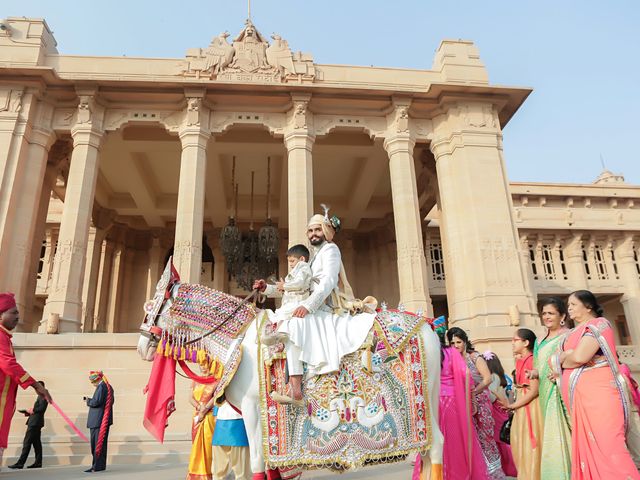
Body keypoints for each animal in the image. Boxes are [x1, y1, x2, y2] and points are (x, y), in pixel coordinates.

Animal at [138, 284, 442, 478]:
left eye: (151, 310)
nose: (141, 347)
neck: (239, 340)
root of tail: (427, 325)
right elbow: (268, 467)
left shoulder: (252, 409)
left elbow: (258, 463)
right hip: (431, 397)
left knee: (436, 446)